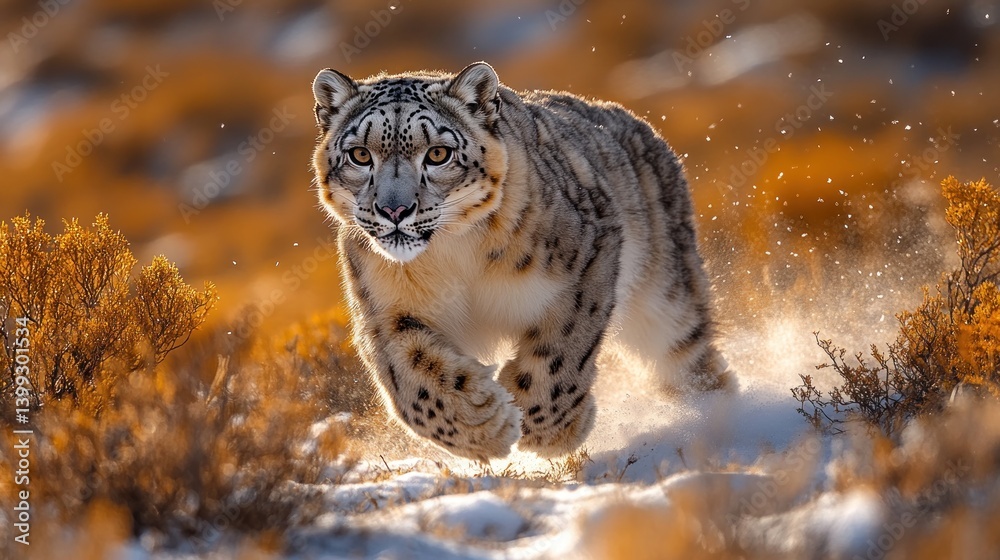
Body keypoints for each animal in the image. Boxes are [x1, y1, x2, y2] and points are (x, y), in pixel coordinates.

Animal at [311, 61, 731, 461]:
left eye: (438, 154)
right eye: (361, 154)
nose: (394, 210)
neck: (452, 256)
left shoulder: (587, 261)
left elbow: (561, 350)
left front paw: (544, 428)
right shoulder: (384, 311)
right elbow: (412, 383)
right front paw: (484, 424)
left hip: (665, 298)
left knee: (687, 358)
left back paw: (719, 417)